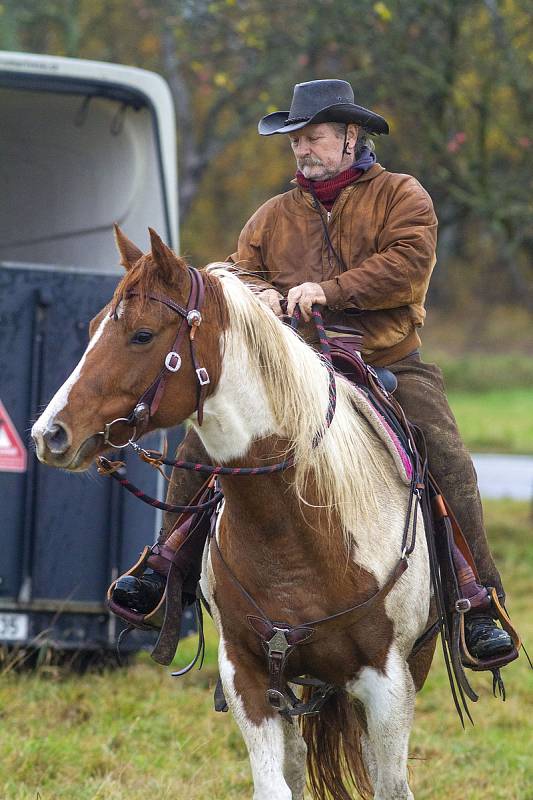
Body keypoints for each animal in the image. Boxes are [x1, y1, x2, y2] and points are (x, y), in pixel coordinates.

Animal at [32, 228, 432, 800]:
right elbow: (274, 785)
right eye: (91, 329)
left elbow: (391, 784)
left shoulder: (389, 683)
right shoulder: (244, 671)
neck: (297, 528)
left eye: (142, 335)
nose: (50, 434)